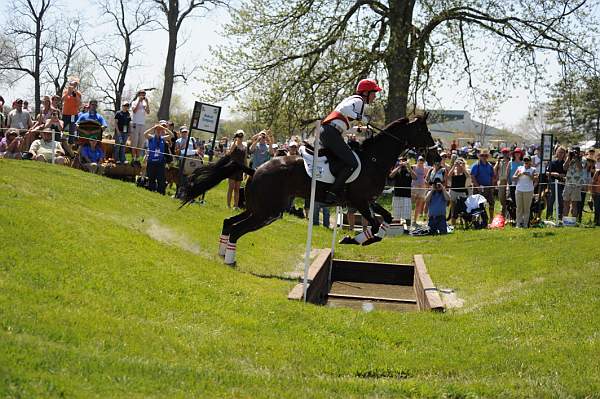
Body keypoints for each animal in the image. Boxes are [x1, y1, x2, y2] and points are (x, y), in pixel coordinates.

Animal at [180, 116, 438, 266]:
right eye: (424, 130)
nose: (436, 155)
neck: (374, 159)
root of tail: (256, 169)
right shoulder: (359, 201)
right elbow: (375, 225)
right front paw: (351, 239)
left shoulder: (366, 200)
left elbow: (385, 220)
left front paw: (357, 238)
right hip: (267, 212)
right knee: (236, 230)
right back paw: (230, 260)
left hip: (260, 209)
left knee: (228, 222)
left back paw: (222, 253)